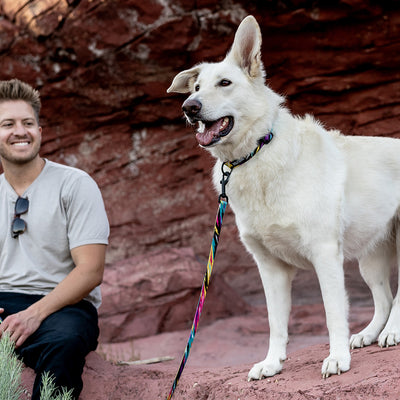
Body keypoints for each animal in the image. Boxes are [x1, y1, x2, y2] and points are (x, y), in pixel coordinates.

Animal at [166, 14, 400, 378]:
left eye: (224, 83)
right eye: (196, 88)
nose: (189, 107)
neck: (257, 153)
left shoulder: (324, 254)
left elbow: (333, 314)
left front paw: (337, 359)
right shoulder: (270, 267)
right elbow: (275, 322)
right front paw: (272, 363)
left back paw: (391, 332)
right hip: (370, 256)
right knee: (385, 297)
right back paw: (371, 334)